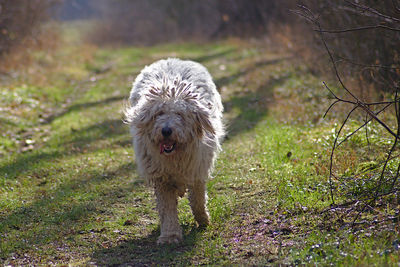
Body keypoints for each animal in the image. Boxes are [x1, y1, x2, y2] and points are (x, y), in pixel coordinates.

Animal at [126, 58, 225, 245]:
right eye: (159, 113)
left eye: (180, 114)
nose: (166, 130)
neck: (175, 156)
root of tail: (172, 59)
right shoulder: (161, 177)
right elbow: (168, 209)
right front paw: (170, 236)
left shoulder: (197, 169)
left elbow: (198, 199)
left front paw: (203, 220)